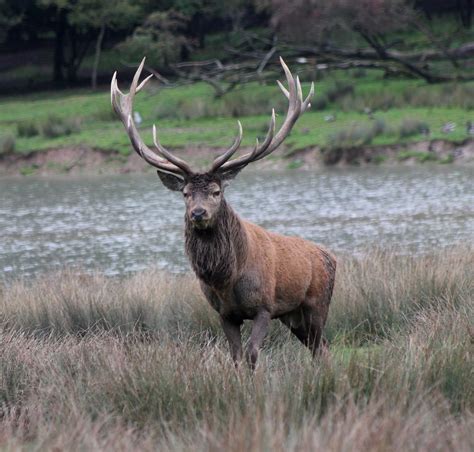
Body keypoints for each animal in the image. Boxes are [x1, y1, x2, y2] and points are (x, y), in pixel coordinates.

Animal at [110, 57, 336, 368]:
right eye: (185, 193)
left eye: (216, 192)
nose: (198, 213)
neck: (227, 278)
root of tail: (332, 256)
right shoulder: (224, 313)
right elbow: (236, 357)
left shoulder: (265, 306)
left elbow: (252, 354)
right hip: (294, 317)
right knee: (319, 347)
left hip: (316, 303)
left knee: (323, 346)